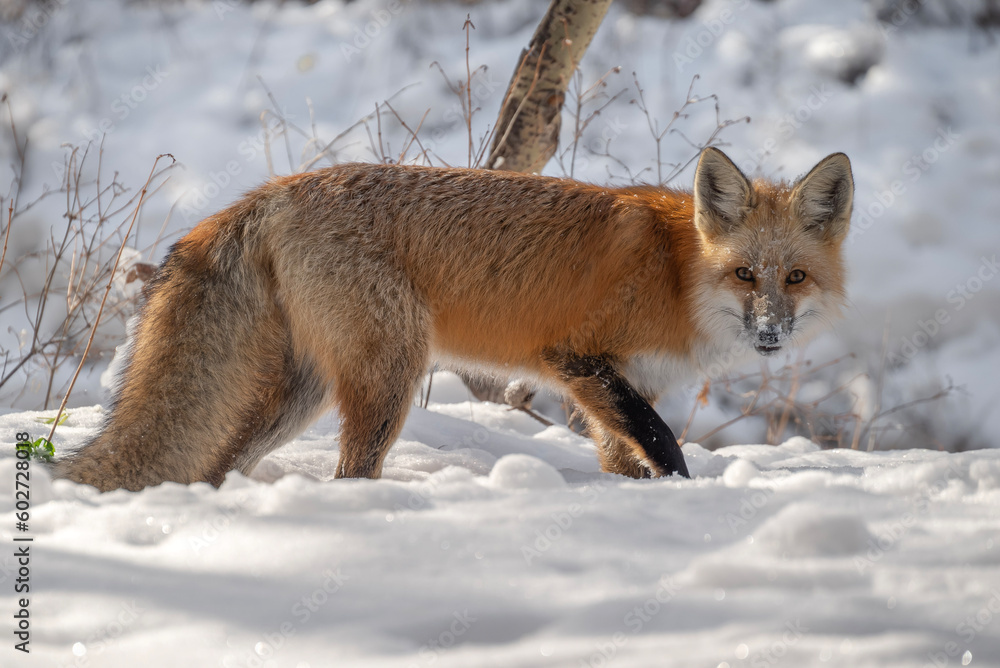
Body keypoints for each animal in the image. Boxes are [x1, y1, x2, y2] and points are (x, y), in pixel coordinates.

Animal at [53, 147, 853, 491]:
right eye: (744, 274)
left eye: (794, 278)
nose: (770, 333)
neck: (675, 272)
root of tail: (275, 189)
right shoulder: (576, 360)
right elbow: (666, 447)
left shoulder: (626, 387)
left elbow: (630, 459)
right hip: (391, 372)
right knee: (350, 471)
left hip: (300, 394)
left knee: (218, 466)